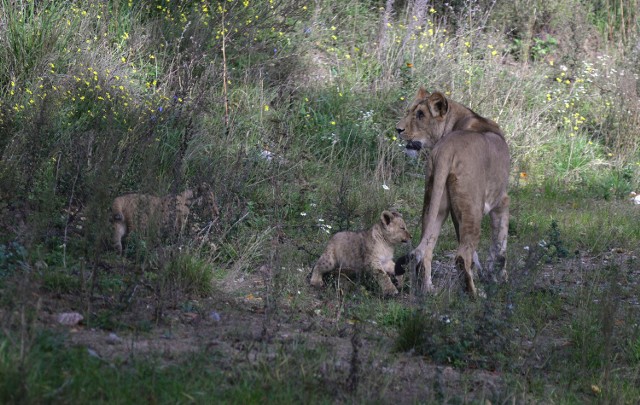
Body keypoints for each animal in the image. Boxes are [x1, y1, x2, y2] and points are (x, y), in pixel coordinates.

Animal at [396, 87, 510, 296]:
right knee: (461, 256)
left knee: (427, 250)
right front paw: (498, 277)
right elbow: (500, 243)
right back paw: (474, 295)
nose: (397, 129)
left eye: (420, 114)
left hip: (435, 203)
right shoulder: (501, 200)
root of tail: (447, 149)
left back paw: (428, 290)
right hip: (473, 207)